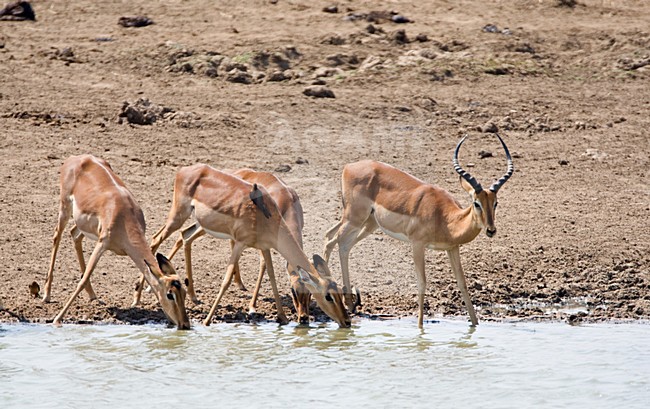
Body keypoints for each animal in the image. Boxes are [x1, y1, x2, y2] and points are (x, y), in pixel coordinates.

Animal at [44, 155, 190, 329]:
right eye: (170, 294)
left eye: (184, 292)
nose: (185, 325)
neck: (124, 216)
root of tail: (76, 158)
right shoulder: (102, 243)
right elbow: (84, 279)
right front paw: (57, 320)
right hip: (64, 208)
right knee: (56, 236)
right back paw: (46, 295)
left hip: (82, 225)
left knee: (74, 234)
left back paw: (93, 296)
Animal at [149, 164, 351, 328]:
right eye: (328, 296)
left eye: (339, 292)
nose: (347, 321)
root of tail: (186, 169)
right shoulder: (241, 243)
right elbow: (226, 280)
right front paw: (207, 321)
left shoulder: (265, 247)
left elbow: (272, 276)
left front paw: (283, 318)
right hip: (178, 217)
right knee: (155, 239)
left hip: (200, 225)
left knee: (185, 236)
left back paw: (191, 294)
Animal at [324, 134, 514, 327]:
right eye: (476, 203)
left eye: (495, 203)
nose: (491, 230)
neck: (445, 218)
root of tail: (349, 166)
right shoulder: (417, 244)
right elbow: (422, 283)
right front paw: (420, 326)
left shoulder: (452, 248)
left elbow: (462, 283)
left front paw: (475, 324)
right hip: (354, 219)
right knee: (332, 240)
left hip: (368, 223)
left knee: (339, 241)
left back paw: (348, 301)